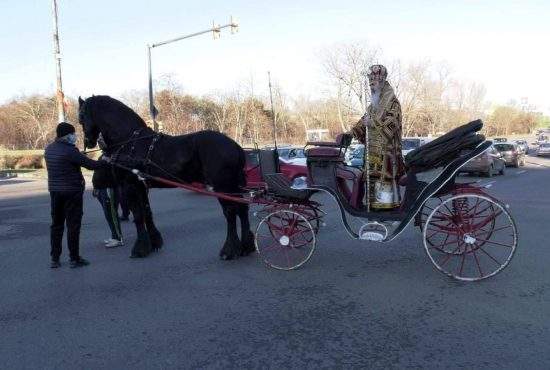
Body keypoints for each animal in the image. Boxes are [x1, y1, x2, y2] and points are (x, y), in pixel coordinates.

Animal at [78, 95, 256, 260]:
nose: (88, 142)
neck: (130, 140)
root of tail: (235, 146)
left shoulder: (131, 186)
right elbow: (147, 212)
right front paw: (154, 243)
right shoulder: (141, 186)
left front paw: (140, 248)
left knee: (230, 212)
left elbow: (138, 215)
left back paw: (229, 249)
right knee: (242, 209)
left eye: (81, 117)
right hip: (235, 185)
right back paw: (246, 246)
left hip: (222, 185)